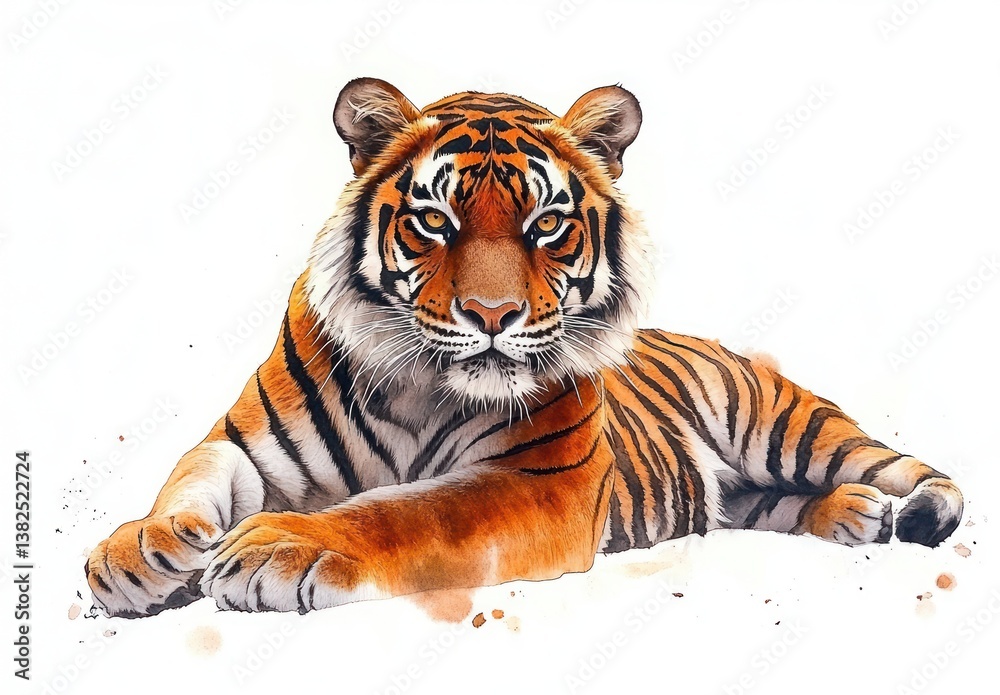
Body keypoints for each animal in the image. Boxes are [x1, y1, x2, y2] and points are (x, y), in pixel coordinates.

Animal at [86, 78, 964, 617]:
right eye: (434, 219)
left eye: (546, 224)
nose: (492, 313)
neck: (417, 382)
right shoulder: (247, 446)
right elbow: (190, 477)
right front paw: (138, 551)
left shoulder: (541, 483)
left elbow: (408, 511)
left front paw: (281, 545)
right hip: (746, 488)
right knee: (767, 501)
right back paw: (852, 516)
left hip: (785, 423)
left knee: (891, 463)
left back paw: (915, 508)